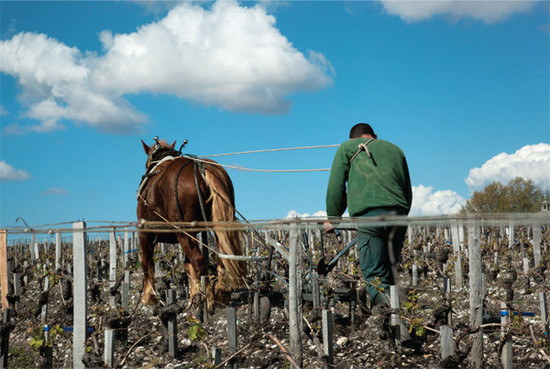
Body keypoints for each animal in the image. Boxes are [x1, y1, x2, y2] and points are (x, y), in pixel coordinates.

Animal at [138, 139, 248, 310]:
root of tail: (201, 167)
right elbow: (188, 266)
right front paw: (194, 296)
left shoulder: (145, 235)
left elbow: (147, 264)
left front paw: (148, 297)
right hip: (216, 225)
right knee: (221, 255)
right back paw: (221, 292)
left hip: (183, 233)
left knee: (199, 260)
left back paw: (209, 300)